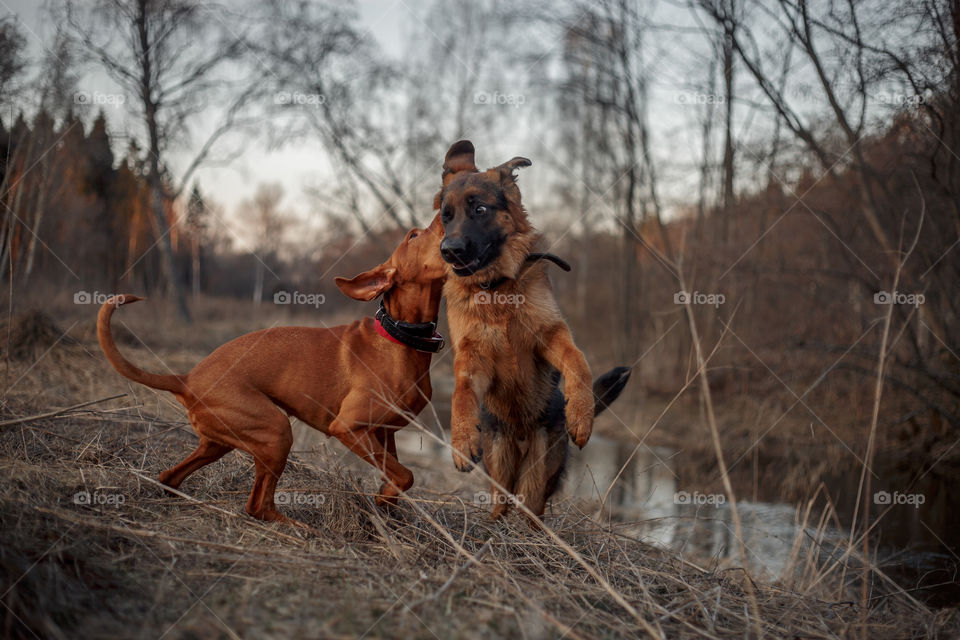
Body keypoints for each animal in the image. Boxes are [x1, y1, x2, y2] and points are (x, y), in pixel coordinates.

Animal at [99, 218, 444, 524]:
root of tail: (186, 378)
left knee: (170, 477)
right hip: (276, 431)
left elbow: (397, 474)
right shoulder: (348, 427)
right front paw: (383, 500)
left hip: (221, 441)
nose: (444, 211)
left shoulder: (384, 433)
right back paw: (299, 528)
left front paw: (385, 503)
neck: (401, 339)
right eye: (413, 235)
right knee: (256, 505)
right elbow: (406, 474)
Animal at [434, 141, 632, 520]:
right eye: (446, 217)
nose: (449, 251)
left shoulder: (551, 335)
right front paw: (462, 438)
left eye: (480, 209)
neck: (497, 288)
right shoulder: (473, 357)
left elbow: (579, 362)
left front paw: (581, 413)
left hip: (539, 469)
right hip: (500, 460)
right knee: (501, 500)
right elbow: (460, 392)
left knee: (532, 507)